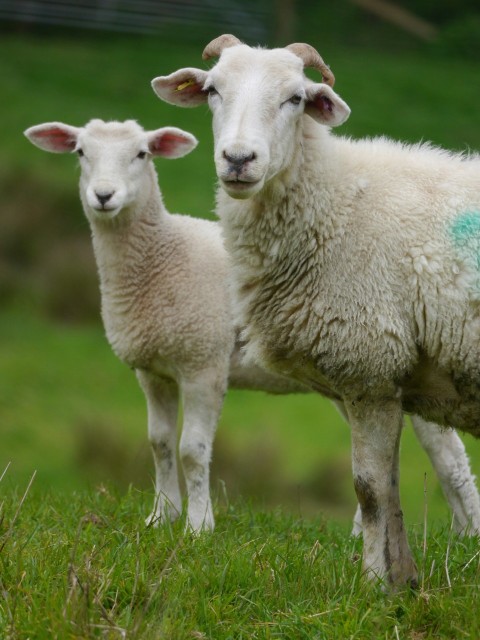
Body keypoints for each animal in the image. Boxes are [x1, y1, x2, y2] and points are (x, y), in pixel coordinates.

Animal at [152, 32, 480, 588]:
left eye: (295, 98)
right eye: (213, 90)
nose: (238, 159)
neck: (335, 200)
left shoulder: (369, 368)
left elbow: (369, 489)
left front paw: (373, 585)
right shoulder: (379, 380)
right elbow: (388, 489)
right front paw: (403, 581)